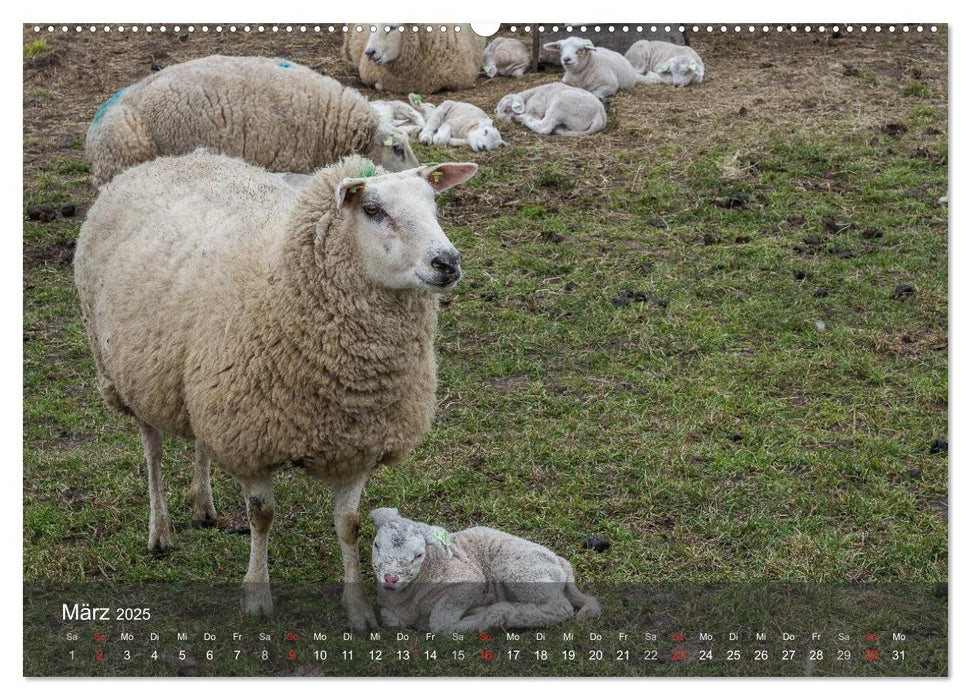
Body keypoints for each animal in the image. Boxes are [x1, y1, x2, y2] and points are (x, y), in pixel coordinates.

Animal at [73, 150, 478, 628]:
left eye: (434, 204)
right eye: (373, 210)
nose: (447, 262)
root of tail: (170, 158)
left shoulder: (357, 444)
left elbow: (350, 524)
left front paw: (359, 608)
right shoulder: (250, 441)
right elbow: (261, 517)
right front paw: (257, 595)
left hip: (203, 386)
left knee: (200, 442)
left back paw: (203, 506)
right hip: (130, 375)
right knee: (152, 451)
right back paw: (161, 531)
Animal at [370, 506, 604, 632]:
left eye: (418, 555)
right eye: (376, 545)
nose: (390, 578)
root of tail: (562, 563)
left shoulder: (467, 583)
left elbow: (440, 622)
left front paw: (480, 619)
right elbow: (390, 619)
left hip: (522, 571)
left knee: (560, 608)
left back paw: (506, 613)